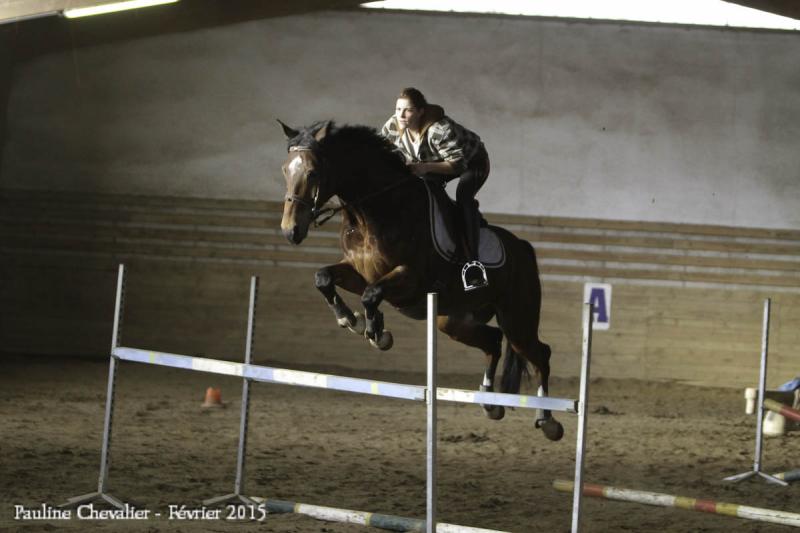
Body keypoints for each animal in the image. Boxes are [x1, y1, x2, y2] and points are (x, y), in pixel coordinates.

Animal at [277, 119, 563, 441]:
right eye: (285, 170)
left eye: (313, 172)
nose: (290, 231)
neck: (373, 210)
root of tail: (523, 248)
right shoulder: (359, 273)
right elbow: (324, 278)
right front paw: (351, 321)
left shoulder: (410, 279)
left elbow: (371, 295)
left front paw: (377, 334)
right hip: (453, 321)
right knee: (493, 341)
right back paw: (490, 403)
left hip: (517, 319)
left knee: (539, 353)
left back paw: (548, 420)